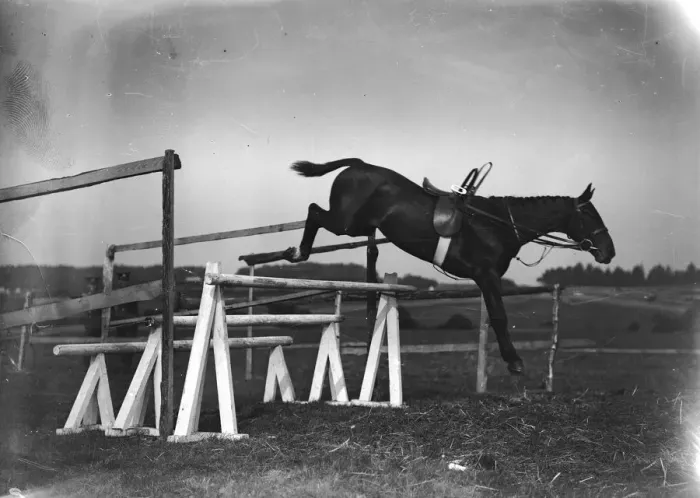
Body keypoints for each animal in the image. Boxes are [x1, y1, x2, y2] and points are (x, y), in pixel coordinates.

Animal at [280, 158, 616, 375]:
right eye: (589, 215)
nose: (609, 252)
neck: (499, 224)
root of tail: (358, 165)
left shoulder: (486, 279)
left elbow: (494, 317)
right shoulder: (486, 275)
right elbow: (501, 317)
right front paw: (514, 361)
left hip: (359, 225)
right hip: (345, 222)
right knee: (314, 211)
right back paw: (298, 252)